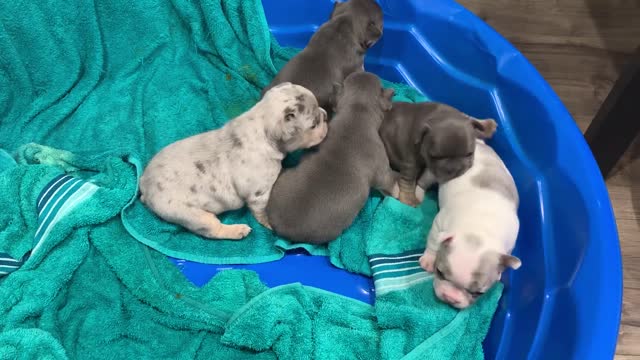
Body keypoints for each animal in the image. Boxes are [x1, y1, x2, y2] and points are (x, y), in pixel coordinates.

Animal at [141, 83, 330, 240]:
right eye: (314, 124)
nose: (326, 114)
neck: (262, 129)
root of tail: (145, 185)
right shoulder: (259, 196)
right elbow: (263, 213)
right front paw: (269, 224)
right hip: (190, 214)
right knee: (212, 230)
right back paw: (237, 230)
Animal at [420, 139, 520, 308]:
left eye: (478, 293)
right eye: (439, 272)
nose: (451, 297)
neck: (479, 230)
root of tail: (477, 142)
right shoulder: (439, 224)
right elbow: (433, 242)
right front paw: (429, 258)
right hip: (435, 171)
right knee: (424, 180)